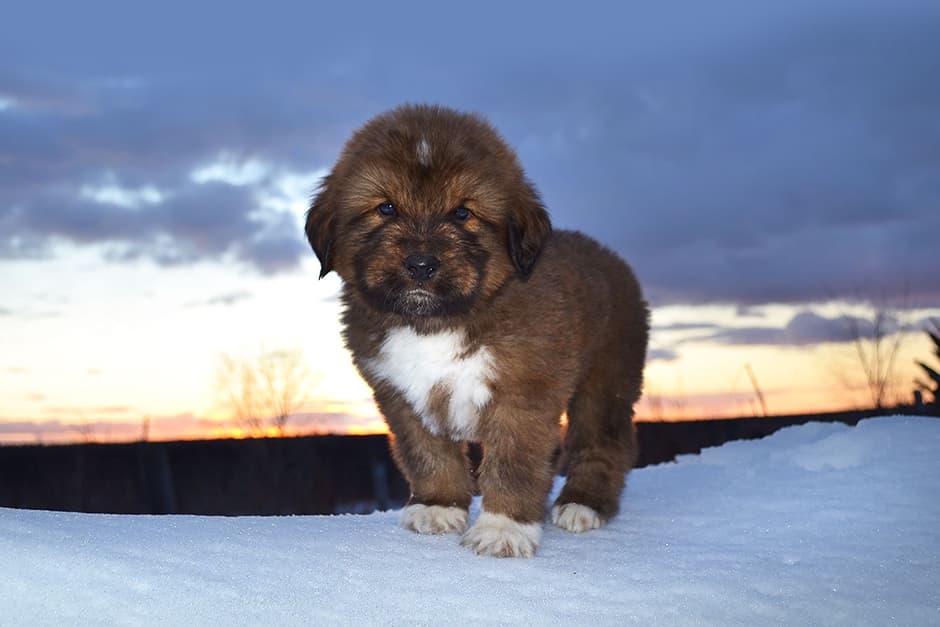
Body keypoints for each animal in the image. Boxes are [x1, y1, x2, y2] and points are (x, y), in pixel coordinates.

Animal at [304, 104, 648, 560]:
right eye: (386, 208)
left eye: (462, 213)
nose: (421, 265)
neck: (435, 323)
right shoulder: (401, 395)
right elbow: (427, 452)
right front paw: (438, 505)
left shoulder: (522, 393)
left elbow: (513, 463)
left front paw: (504, 528)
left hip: (606, 378)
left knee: (604, 441)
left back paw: (584, 503)